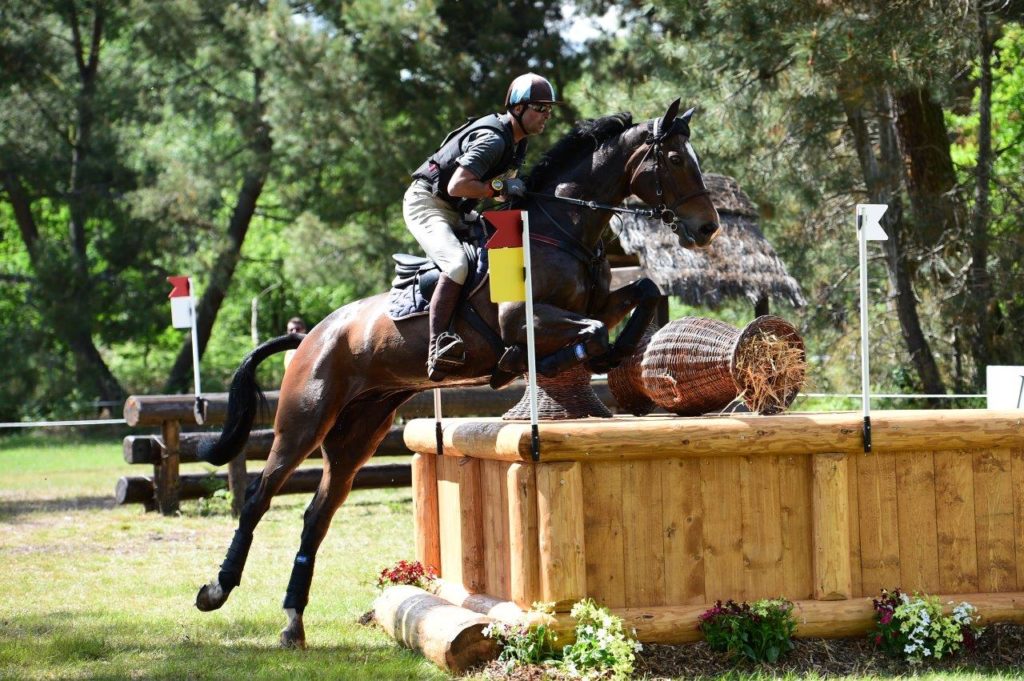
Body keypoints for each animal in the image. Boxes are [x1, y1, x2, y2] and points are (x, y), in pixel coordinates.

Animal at [193, 98, 720, 647]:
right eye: (676, 160)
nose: (708, 228)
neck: (561, 230)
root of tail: (311, 337)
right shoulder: (523, 320)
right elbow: (588, 332)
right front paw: (560, 360)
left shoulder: (598, 301)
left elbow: (642, 292)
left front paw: (615, 355)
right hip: (304, 421)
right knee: (258, 496)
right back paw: (216, 590)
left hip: (358, 433)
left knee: (318, 514)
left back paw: (293, 621)